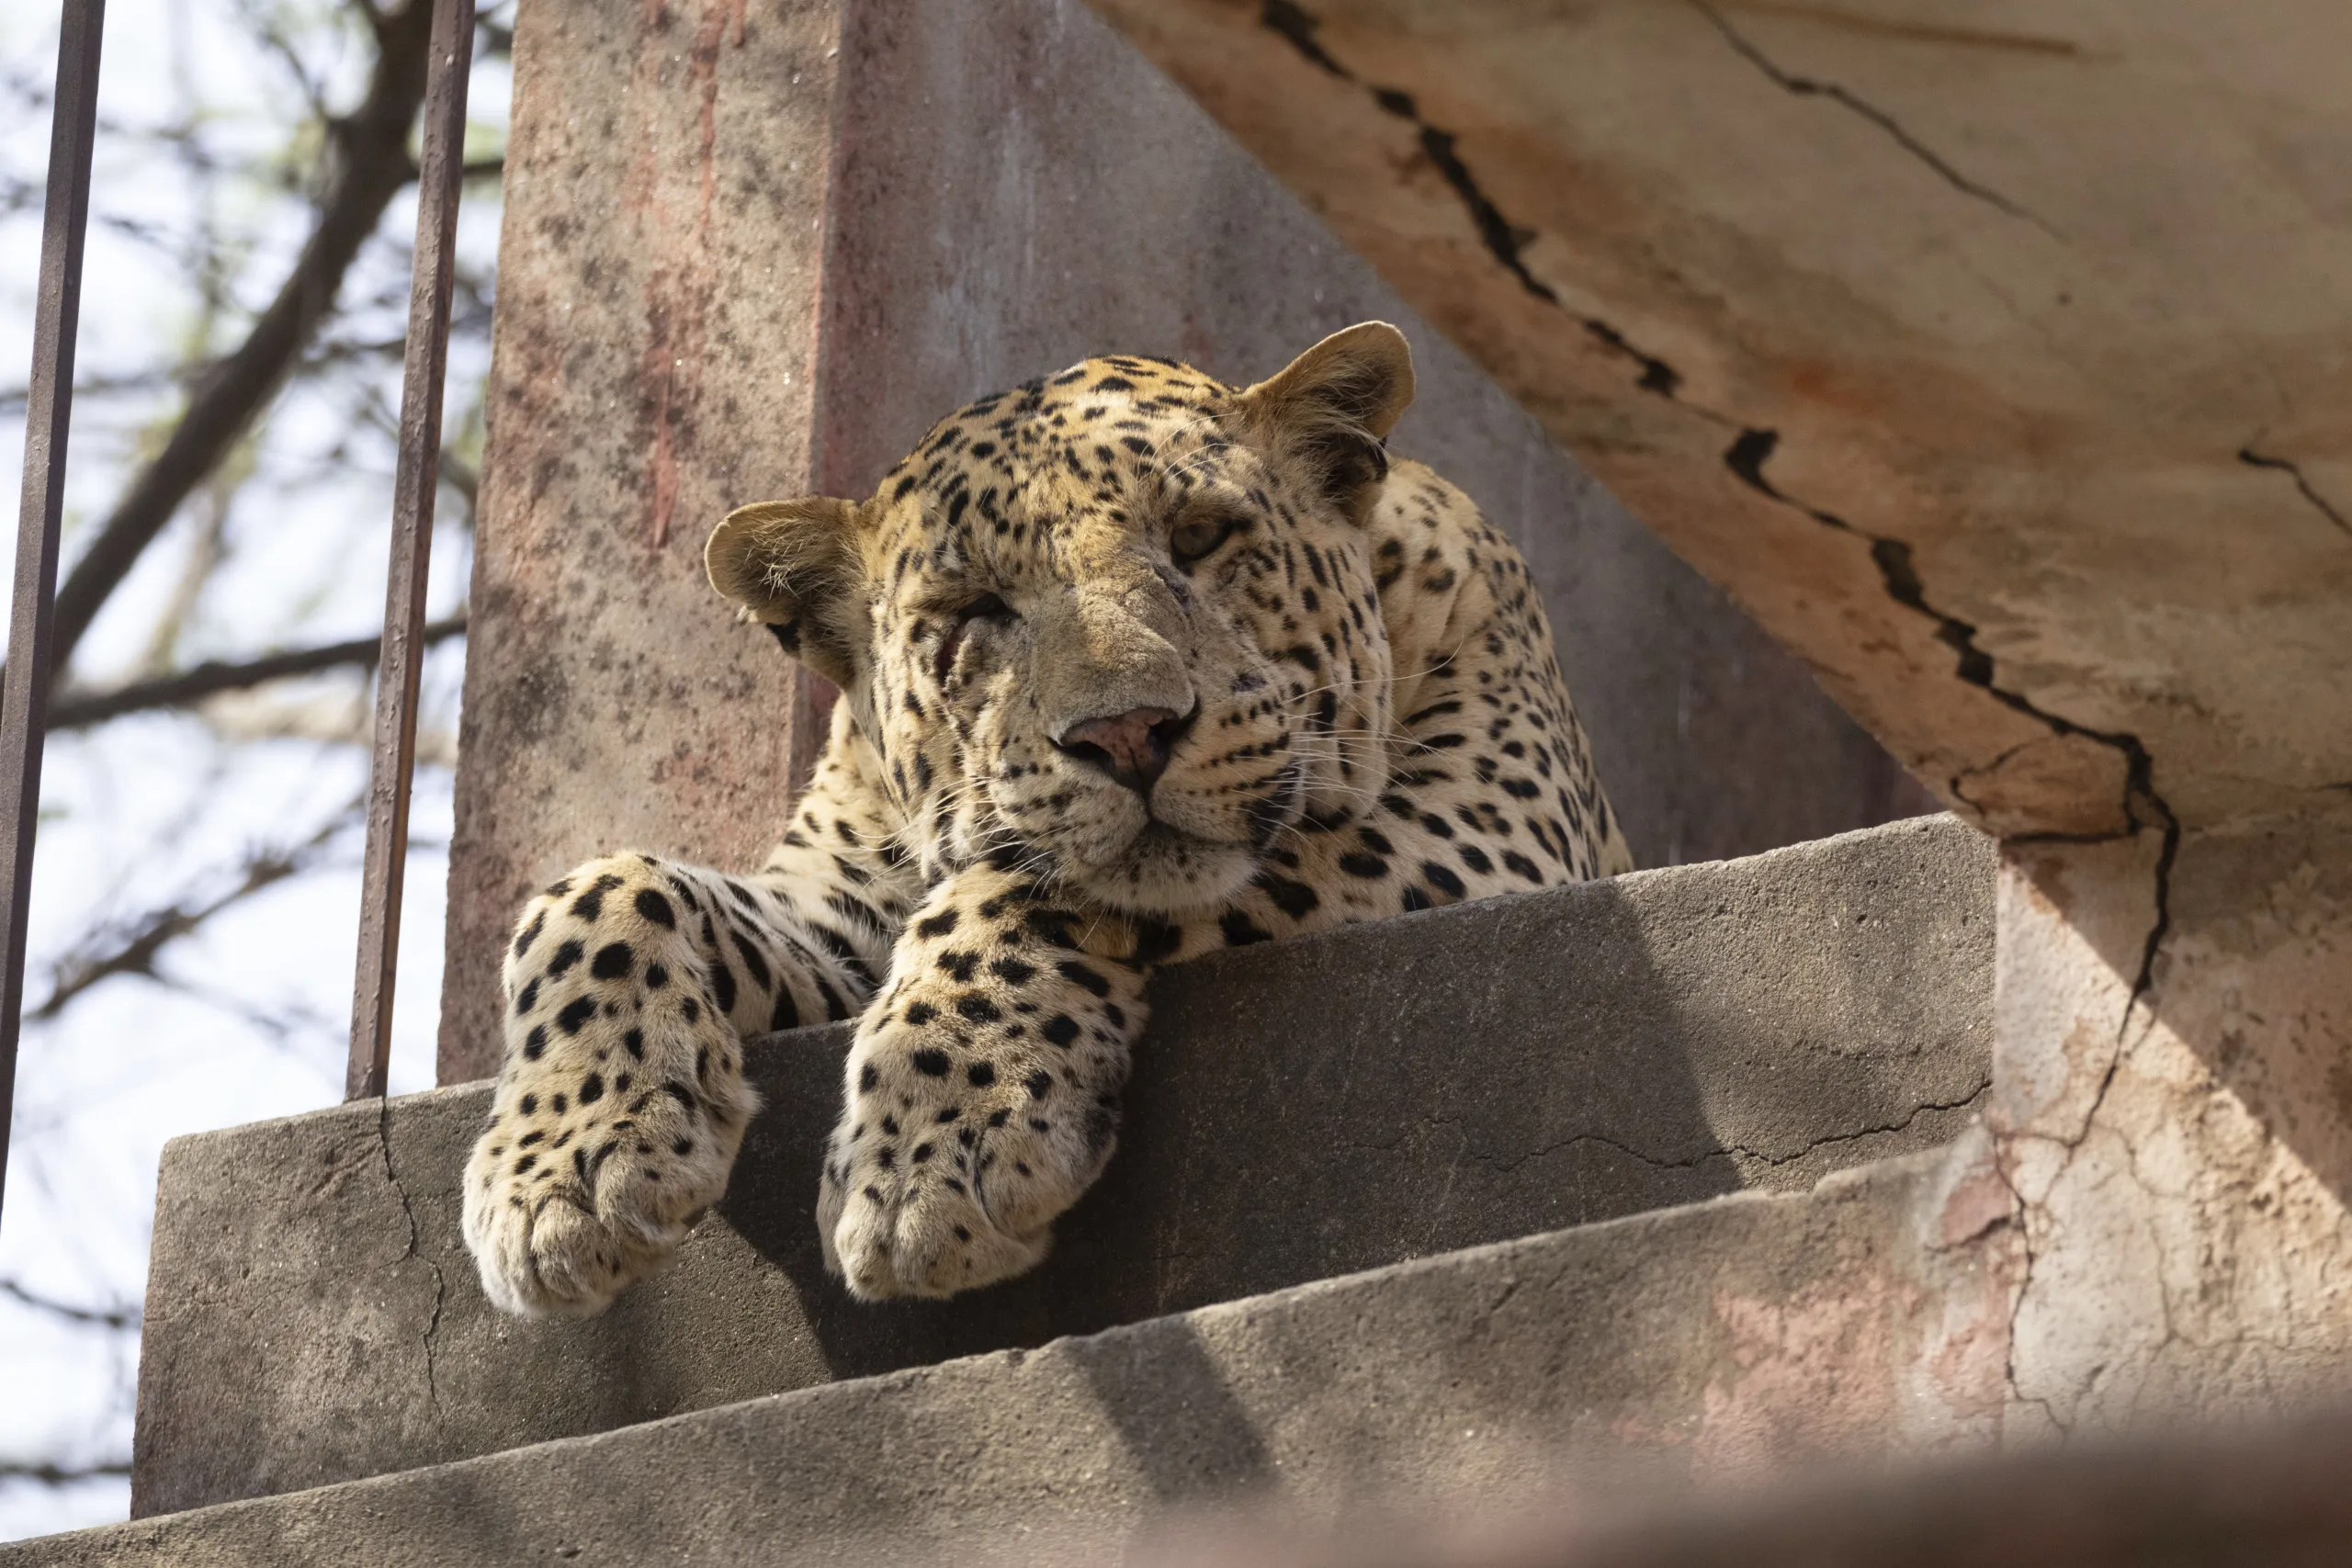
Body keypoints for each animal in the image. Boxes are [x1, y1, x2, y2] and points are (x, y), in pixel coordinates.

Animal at [458, 314, 1636, 1316]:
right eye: (974, 609)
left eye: (1200, 537)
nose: (1128, 734)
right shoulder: (834, 908)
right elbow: (596, 888)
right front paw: (561, 1166)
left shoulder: (1489, 833)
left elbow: (1026, 883)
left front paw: (932, 1153)